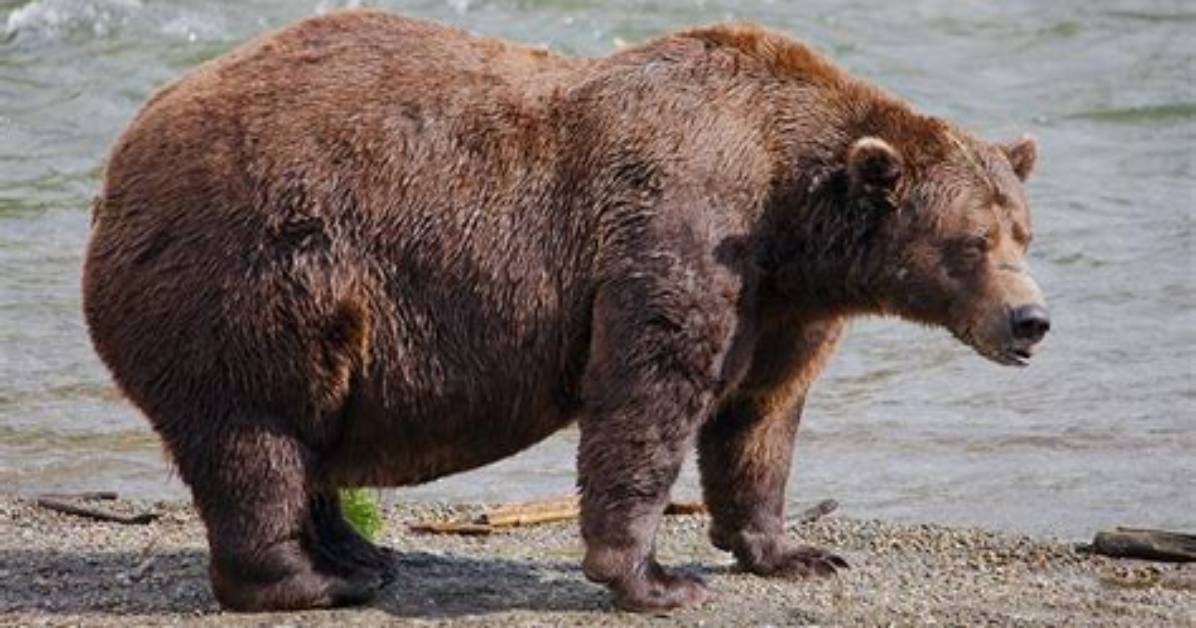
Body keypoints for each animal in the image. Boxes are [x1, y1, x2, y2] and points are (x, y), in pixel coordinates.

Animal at [82, 9, 1050, 613]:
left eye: (1023, 232)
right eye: (972, 241)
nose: (1031, 321)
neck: (792, 215)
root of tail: (120, 158)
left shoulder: (781, 304)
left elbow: (759, 418)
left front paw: (793, 551)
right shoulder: (680, 228)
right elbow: (648, 394)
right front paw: (655, 579)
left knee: (306, 434)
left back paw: (360, 554)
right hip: (253, 273)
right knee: (257, 434)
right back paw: (312, 580)